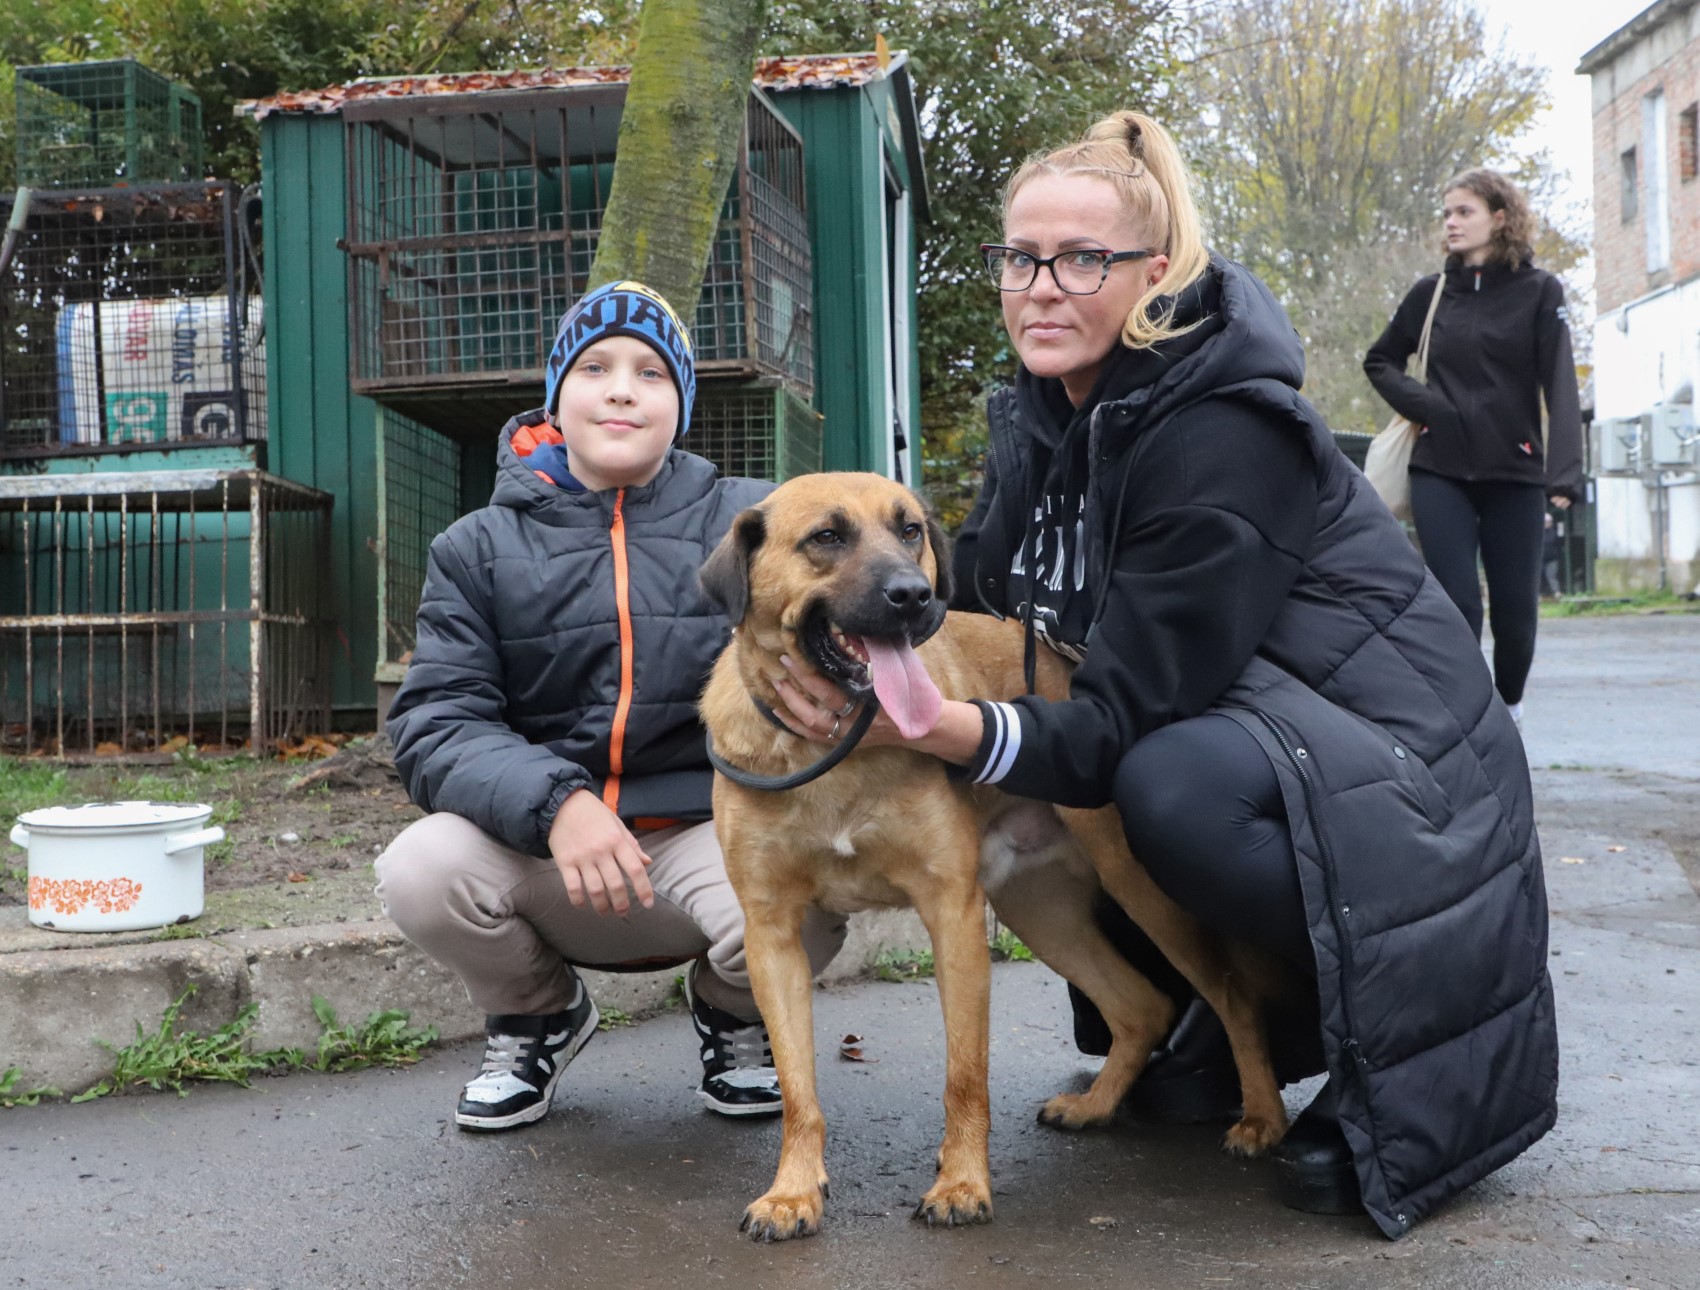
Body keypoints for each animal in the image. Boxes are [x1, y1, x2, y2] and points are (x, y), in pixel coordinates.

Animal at [698, 472, 1289, 1242]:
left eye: (910, 530)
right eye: (826, 537)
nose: (913, 596)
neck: (841, 750)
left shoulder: (952, 915)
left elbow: (964, 1078)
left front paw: (961, 1186)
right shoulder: (772, 936)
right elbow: (800, 1090)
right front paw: (793, 1192)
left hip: (1141, 889)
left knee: (1232, 998)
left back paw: (1263, 1120)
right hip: (1039, 912)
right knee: (1143, 1005)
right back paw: (1096, 1105)